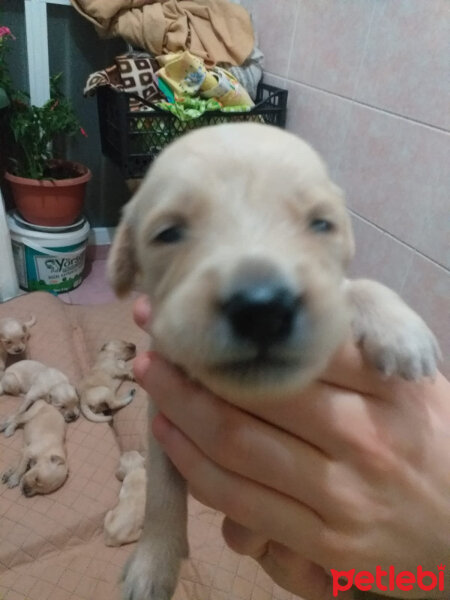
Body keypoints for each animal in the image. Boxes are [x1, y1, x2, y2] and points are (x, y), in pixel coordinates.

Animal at [106, 123, 440, 600]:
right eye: (168, 233)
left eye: (321, 224)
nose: (262, 308)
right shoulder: (163, 416)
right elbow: (162, 493)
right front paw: (153, 563)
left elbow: (352, 287)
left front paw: (400, 328)